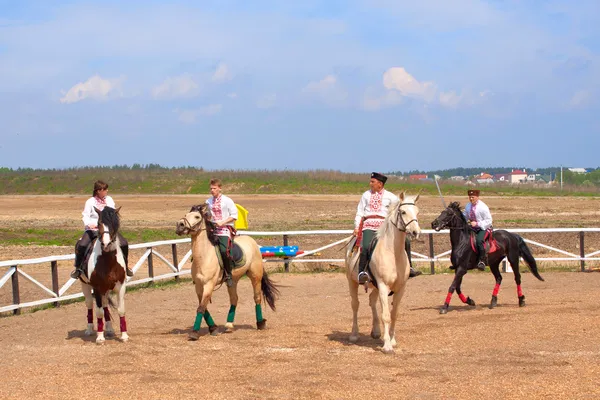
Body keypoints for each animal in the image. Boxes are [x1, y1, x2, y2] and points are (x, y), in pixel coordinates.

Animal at [78, 206, 129, 344]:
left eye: (114, 224)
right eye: (99, 222)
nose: (106, 244)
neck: (108, 261)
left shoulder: (120, 286)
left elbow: (121, 309)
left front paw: (124, 335)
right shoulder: (97, 288)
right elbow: (99, 312)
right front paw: (100, 337)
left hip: (106, 289)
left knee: (106, 304)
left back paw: (110, 329)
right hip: (85, 285)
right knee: (90, 304)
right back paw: (89, 329)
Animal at [172, 205, 278, 340]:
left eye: (197, 216)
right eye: (186, 215)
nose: (180, 225)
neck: (204, 257)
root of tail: (252, 241)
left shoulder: (209, 284)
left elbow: (201, 308)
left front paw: (194, 333)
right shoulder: (199, 286)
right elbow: (204, 307)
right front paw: (213, 328)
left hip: (255, 276)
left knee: (257, 298)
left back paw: (260, 323)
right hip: (233, 280)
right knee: (234, 299)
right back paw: (229, 325)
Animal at [342, 192, 422, 354]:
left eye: (417, 212)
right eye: (403, 212)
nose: (415, 232)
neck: (393, 252)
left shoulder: (400, 288)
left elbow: (394, 314)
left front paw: (392, 340)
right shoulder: (384, 286)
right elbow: (386, 315)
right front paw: (387, 346)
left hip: (374, 286)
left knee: (372, 302)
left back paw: (376, 332)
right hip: (352, 282)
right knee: (355, 305)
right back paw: (354, 334)